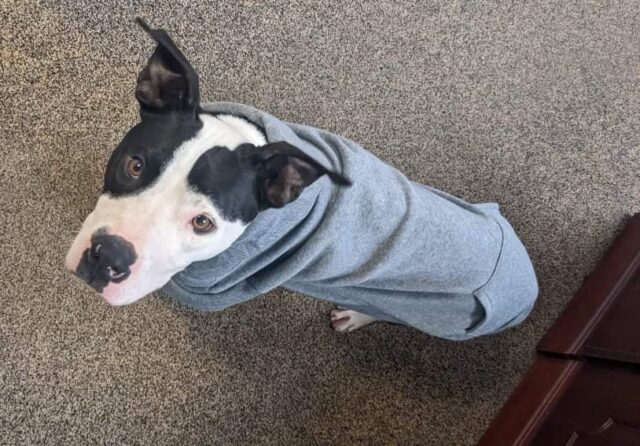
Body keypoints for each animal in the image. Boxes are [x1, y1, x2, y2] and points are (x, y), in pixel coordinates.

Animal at [65, 19, 538, 340]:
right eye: (134, 166)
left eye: (203, 223)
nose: (108, 257)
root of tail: (526, 278)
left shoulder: (212, 287)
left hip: (433, 315)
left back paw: (356, 315)